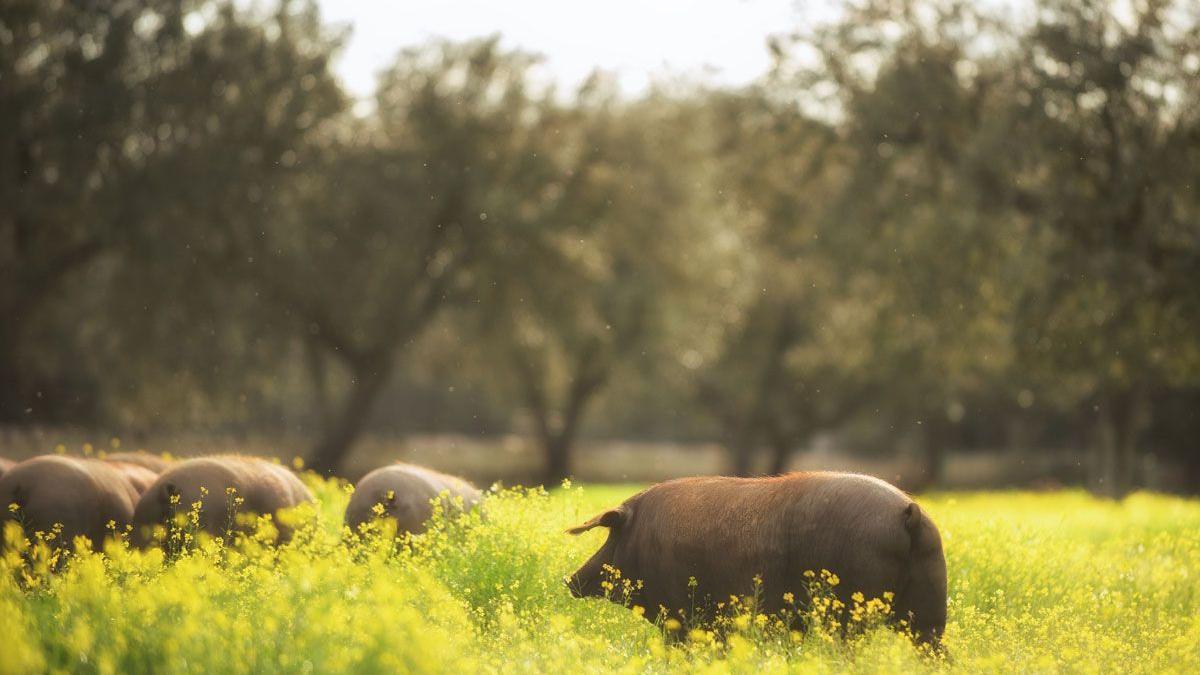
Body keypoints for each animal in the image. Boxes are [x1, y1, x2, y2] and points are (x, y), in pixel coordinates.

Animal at [561, 470, 945, 643]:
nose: (570, 579)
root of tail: (909, 513)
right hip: (930, 608)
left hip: (851, 611)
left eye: (612, 533)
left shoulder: (679, 617)